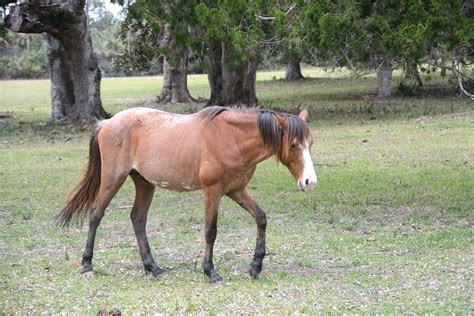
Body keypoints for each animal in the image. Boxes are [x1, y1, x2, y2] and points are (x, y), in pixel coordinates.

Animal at [57, 106, 316, 282]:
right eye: (293, 145)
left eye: (310, 143)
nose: (309, 181)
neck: (231, 138)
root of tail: (107, 123)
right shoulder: (213, 191)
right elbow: (210, 231)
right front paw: (210, 271)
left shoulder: (236, 190)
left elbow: (261, 218)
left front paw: (255, 266)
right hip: (113, 178)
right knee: (95, 214)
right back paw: (87, 265)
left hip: (144, 183)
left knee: (138, 218)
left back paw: (153, 267)